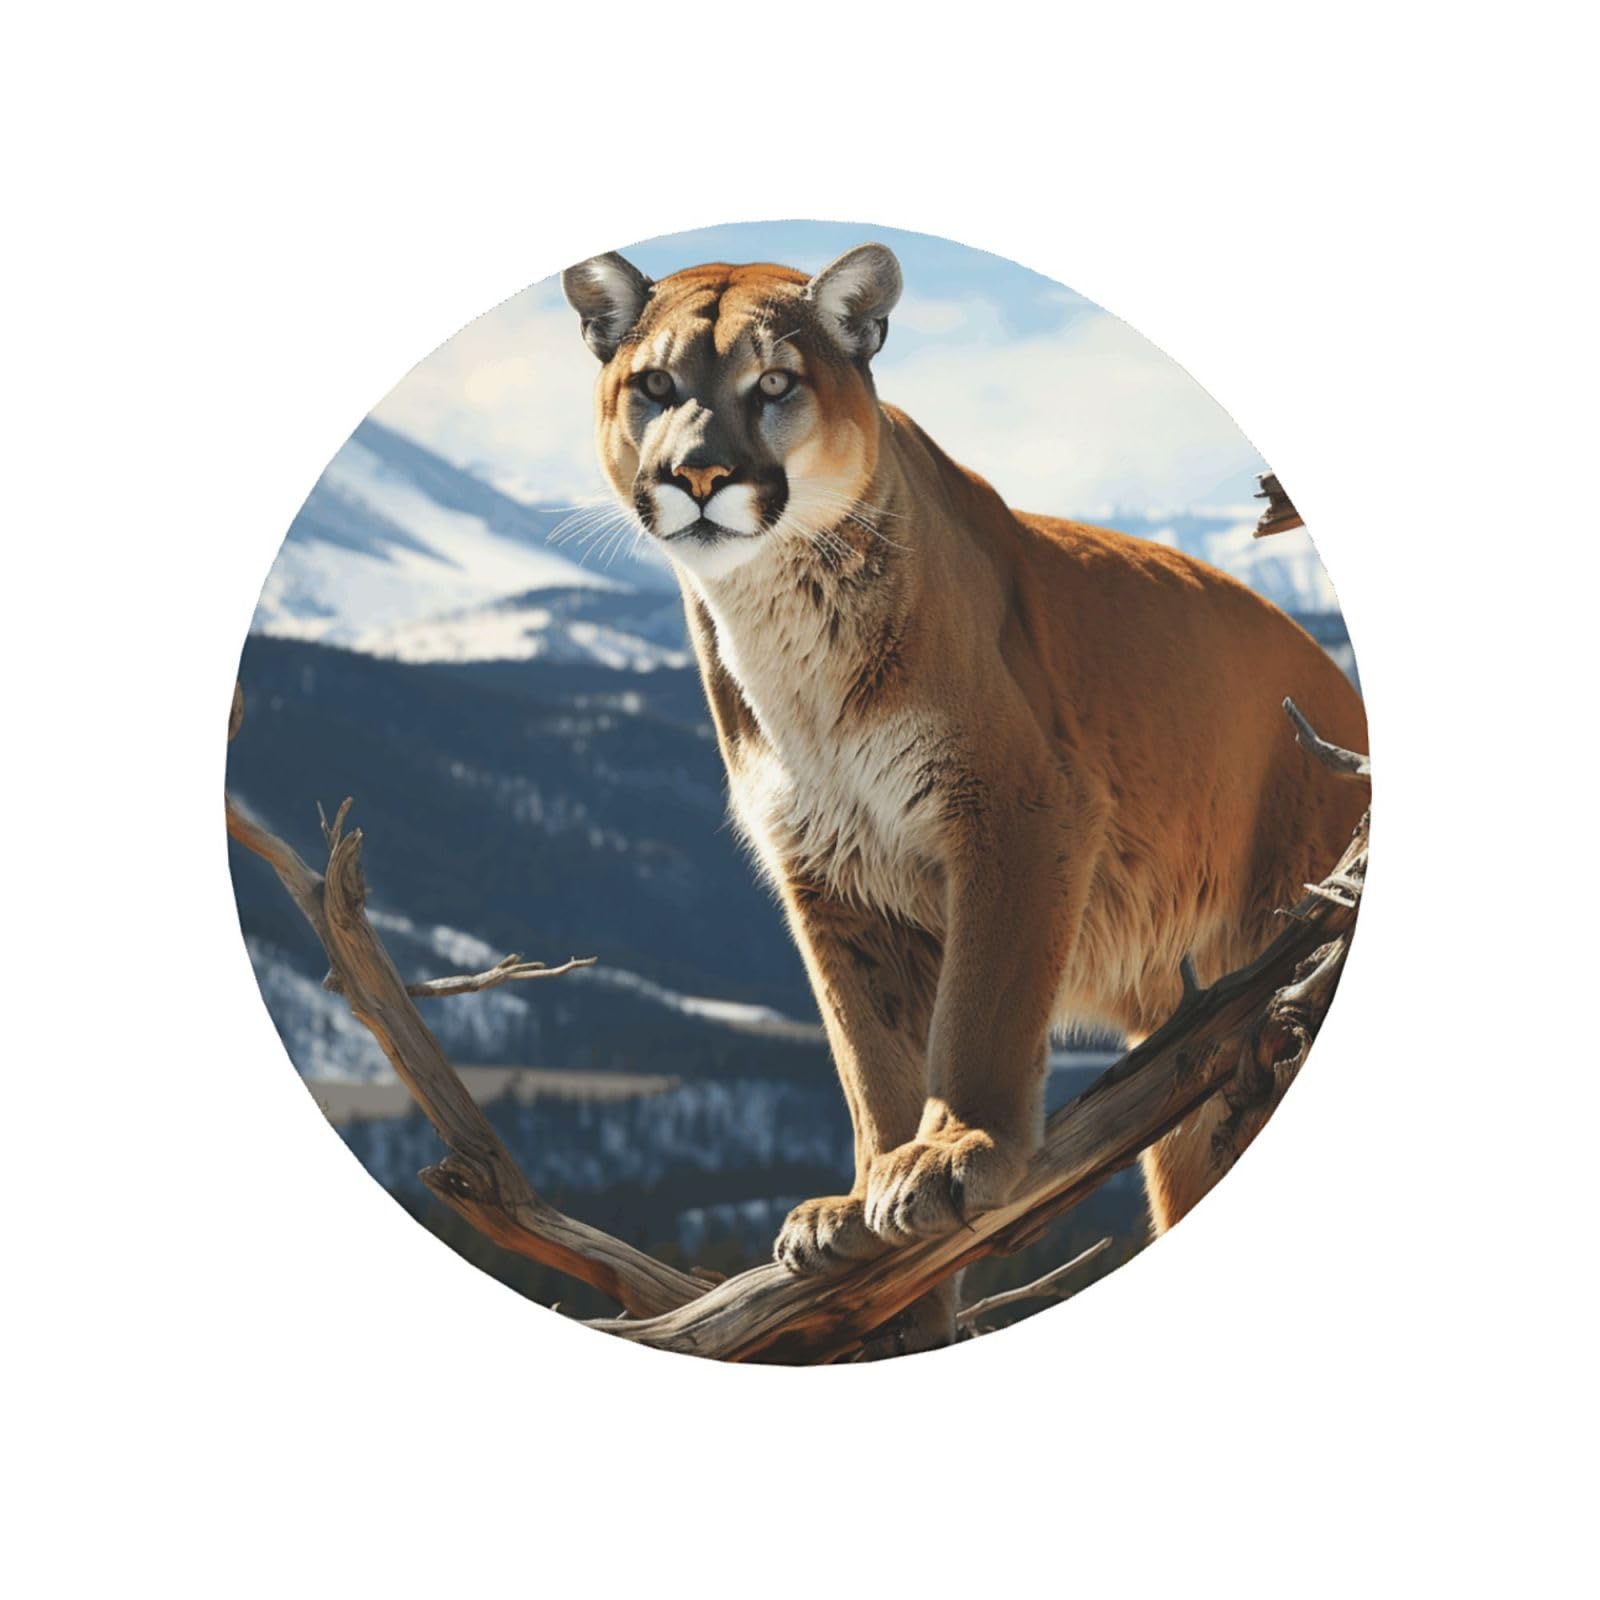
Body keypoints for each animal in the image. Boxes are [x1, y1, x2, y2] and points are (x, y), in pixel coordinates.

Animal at [561, 242, 1366, 1343]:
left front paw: (952, 1154)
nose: (695, 474)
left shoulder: (1016, 807)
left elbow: (981, 1001)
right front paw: (860, 1211)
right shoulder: (825, 871)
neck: (780, 623)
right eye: (653, 386)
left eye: (774, 385)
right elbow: (864, 1047)